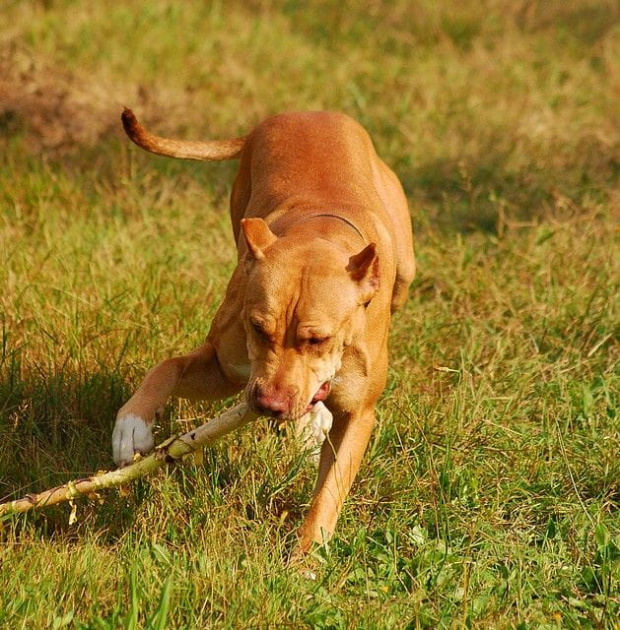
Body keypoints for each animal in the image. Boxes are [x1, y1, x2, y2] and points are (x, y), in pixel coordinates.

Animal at [111, 111, 414, 556]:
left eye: (318, 339)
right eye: (257, 326)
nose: (269, 404)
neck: (320, 233)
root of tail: (299, 113)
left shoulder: (359, 415)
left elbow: (330, 491)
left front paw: (306, 556)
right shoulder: (224, 368)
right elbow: (166, 367)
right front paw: (132, 424)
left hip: (406, 271)